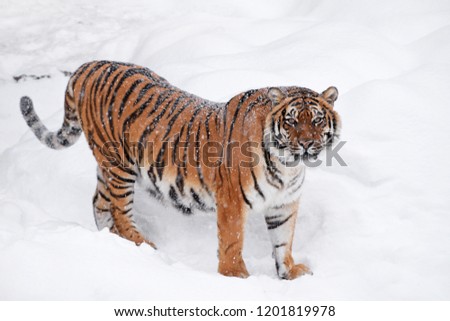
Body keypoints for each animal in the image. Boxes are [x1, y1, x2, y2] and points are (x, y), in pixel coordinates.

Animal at [19, 60, 340, 278]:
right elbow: (233, 241)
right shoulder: (232, 201)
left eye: (317, 120)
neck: (288, 166)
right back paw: (142, 245)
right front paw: (236, 277)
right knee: (120, 211)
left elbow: (283, 241)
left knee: (100, 201)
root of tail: (89, 66)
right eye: (292, 121)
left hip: (106, 166)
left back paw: (109, 239)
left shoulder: (284, 204)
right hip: (119, 165)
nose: (307, 144)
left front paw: (289, 273)